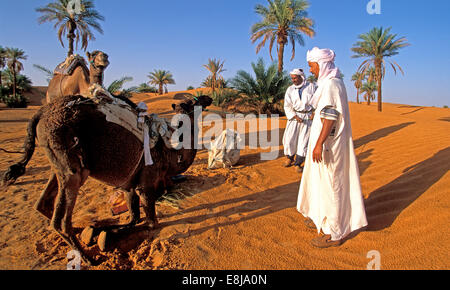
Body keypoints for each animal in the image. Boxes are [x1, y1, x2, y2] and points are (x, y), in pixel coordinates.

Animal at [1, 94, 213, 266]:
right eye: (193, 102)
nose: (208, 98)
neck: (169, 150)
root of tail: (40, 113)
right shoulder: (146, 182)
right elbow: (149, 222)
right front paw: (104, 236)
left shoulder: (129, 185)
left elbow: (133, 218)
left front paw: (98, 231)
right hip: (72, 166)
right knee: (59, 221)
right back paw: (88, 258)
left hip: (58, 165)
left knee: (44, 203)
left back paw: (80, 231)